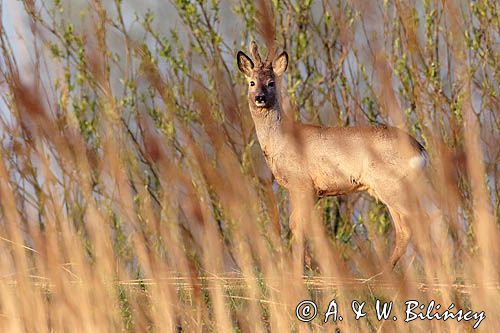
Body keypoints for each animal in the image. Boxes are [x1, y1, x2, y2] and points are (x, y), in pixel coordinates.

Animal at [236, 41, 432, 272]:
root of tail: (420, 150)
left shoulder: (301, 182)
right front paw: (310, 266)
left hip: (392, 185)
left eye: (271, 83)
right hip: (390, 189)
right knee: (405, 230)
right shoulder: (314, 191)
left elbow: (296, 224)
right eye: (252, 82)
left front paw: (301, 269)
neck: (280, 140)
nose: (260, 98)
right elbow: (299, 224)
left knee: (423, 221)